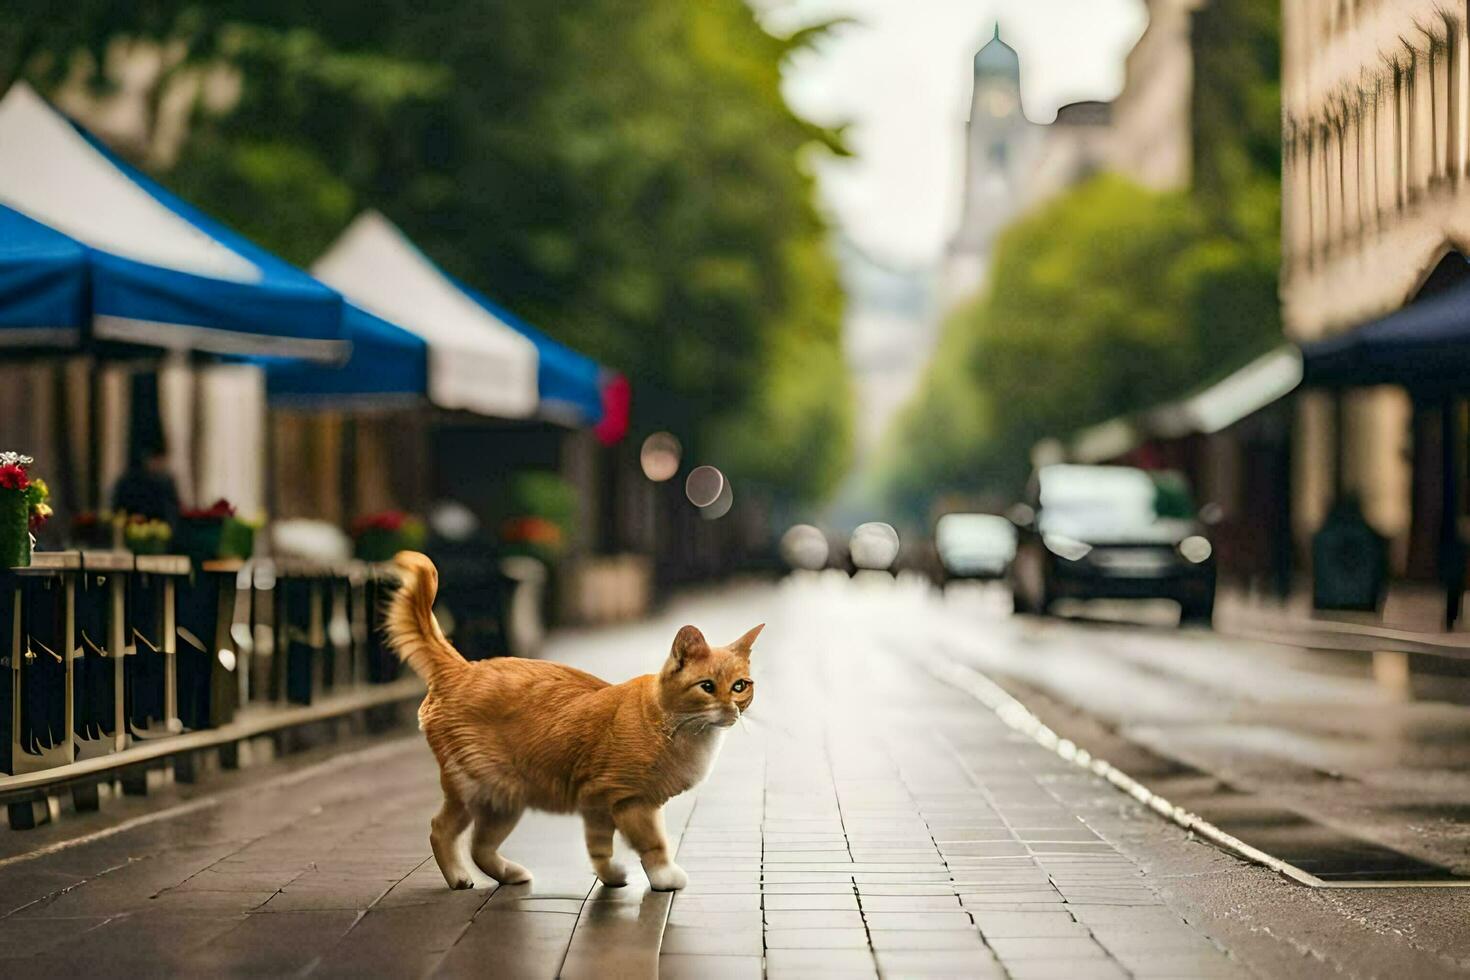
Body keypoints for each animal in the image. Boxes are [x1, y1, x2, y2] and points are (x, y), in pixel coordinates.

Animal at [385, 555, 764, 893]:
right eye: (707, 687)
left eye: (740, 686)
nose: (730, 708)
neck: (678, 727)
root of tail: (463, 667)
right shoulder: (630, 800)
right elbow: (653, 843)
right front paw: (663, 877)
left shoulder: (598, 802)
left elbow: (599, 848)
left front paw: (610, 876)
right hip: (477, 787)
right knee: (440, 829)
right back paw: (458, 878)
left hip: (504, 799)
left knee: (480, 846)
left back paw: (510, 874)